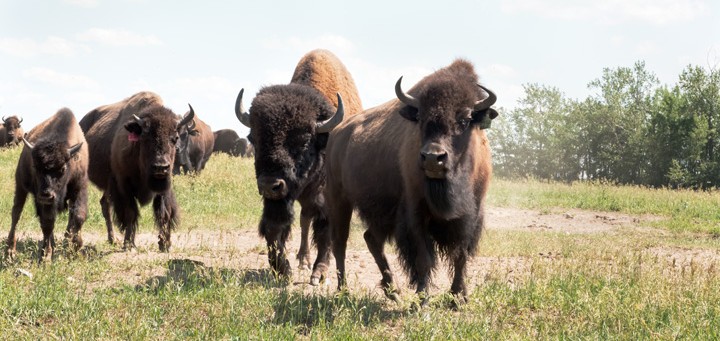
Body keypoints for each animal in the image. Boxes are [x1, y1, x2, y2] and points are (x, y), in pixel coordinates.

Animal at [5, 107, 88, 262]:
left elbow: (79, 216)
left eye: (62, 168)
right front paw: (46, 257)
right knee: (16, 213)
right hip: (21, 186)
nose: (46, 195)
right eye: (36, 167)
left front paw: (77, 248)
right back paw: (10, 252)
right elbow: (48, 223)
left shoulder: (80, 187)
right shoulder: (45, 201)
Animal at [80, 90, 194, 250]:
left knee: (105, 204)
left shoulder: (164, 185)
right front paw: (129, 243)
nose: (160, 166)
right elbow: (130, 213)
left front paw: (165, 244)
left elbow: (164, 212)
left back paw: (113, 239)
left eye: (175, 138)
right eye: (145, 138)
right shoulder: (124, 185)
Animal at [236, 47, 362, 282]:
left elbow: (324, 228)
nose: (269, 185)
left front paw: (318, 272)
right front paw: (281, 268)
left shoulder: (325, 196)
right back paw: (303, 259)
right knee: (304, 220)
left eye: (303, 141)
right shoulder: (281, 196)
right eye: (253, 138)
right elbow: (275, 226)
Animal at [330, 59, 498, 306]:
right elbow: (423, 259)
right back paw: (343, 291)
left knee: (371, 239)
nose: (433, 157)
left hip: (380, 213)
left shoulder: (472, 214)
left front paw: (458, 297)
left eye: (465, 120)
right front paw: (422, 301)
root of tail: (338, 131)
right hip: (339, 199)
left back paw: (393, 292)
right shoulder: (415, 213)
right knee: (340, 243)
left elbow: (461, 255)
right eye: (421, 118)